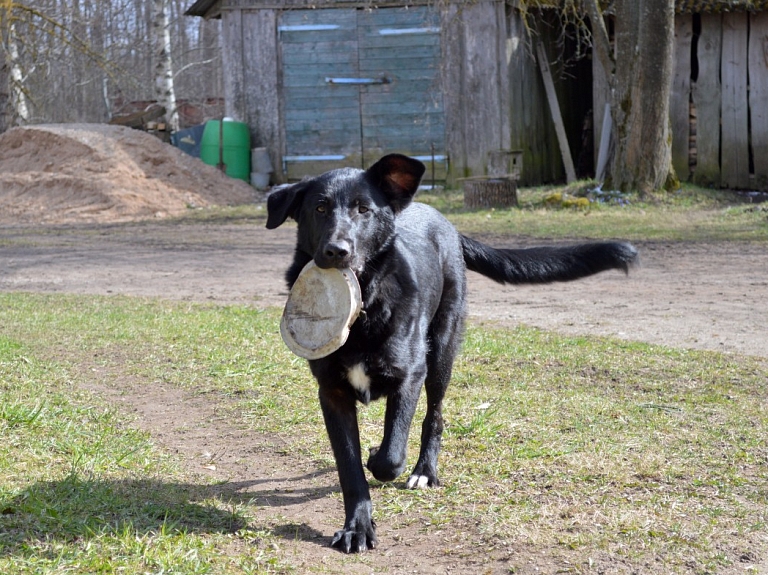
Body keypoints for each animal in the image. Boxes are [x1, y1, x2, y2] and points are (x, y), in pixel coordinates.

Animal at [268, 153, 640, 552]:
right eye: (320, 208)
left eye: (363, 209)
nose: (337, 251)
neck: (366, 305)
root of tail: (444, 222)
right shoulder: (332, 392)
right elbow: (350, 467)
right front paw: (357, 527)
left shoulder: (410, 375)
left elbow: (390, 457)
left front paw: (381, 460)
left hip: (441, 352)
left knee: (434, 416)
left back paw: (424, 472)